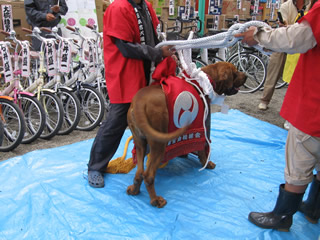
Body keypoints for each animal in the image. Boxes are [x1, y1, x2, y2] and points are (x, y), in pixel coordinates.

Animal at [126, 61, 246, 207]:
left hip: (140, 142)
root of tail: (138, 103)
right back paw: (155, 200)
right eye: (235, 72)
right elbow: (204, 148)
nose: (246, 76)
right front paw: (207, 163)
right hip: (158, 145)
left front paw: (185, 154)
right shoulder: (205, 124)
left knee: (139, 173)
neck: (205, 80)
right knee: (148, 175)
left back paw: (134, 190)